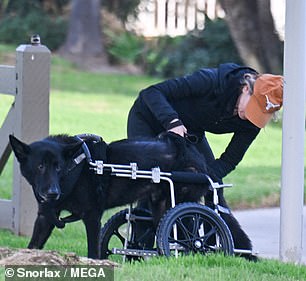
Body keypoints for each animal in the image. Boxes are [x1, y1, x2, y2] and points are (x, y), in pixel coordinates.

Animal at [9, 132, 253, 260]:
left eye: (58, 167)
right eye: (40, 166)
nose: (52, 192)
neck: (75, 168)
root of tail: (198, 159)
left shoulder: (92, 217)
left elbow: (92, 251)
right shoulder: (45, 217)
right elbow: (33, 245)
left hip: (180, 206)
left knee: (190, 239)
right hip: (160, 208)